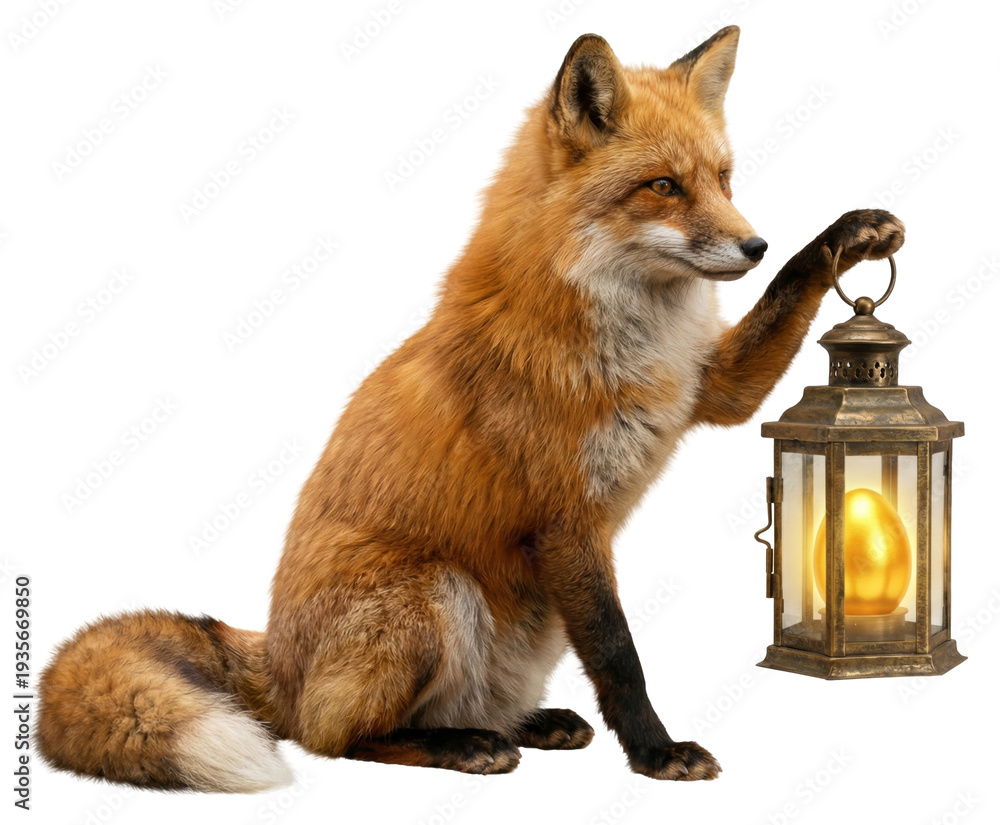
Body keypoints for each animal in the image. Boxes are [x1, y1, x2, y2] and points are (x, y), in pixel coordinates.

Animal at [37, 25, 904, 791]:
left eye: (724, 179)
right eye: (664, 185)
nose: (753, 243)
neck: (626, 334)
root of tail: (275, 658)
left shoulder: (711, 386)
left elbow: (787, 295)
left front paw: (845, 237)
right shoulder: (566, 517)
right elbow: (619, 653)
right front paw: (657, 753)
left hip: (525, 627)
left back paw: (526, 723)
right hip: (434, 592)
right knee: (333, 734)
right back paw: (462, 745)